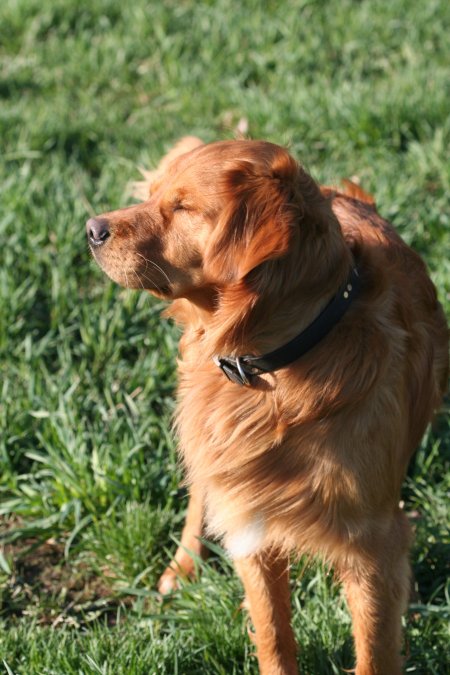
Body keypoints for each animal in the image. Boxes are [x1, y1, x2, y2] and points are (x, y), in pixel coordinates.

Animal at [86, 139, 448, 675]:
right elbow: (274, 634)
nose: (91, 229)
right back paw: (183, 564)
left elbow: (374, 651)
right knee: (201, 493)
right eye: (154, 197)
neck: (275, 367)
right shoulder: (250, 516)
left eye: (184, 207)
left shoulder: (374, 547)